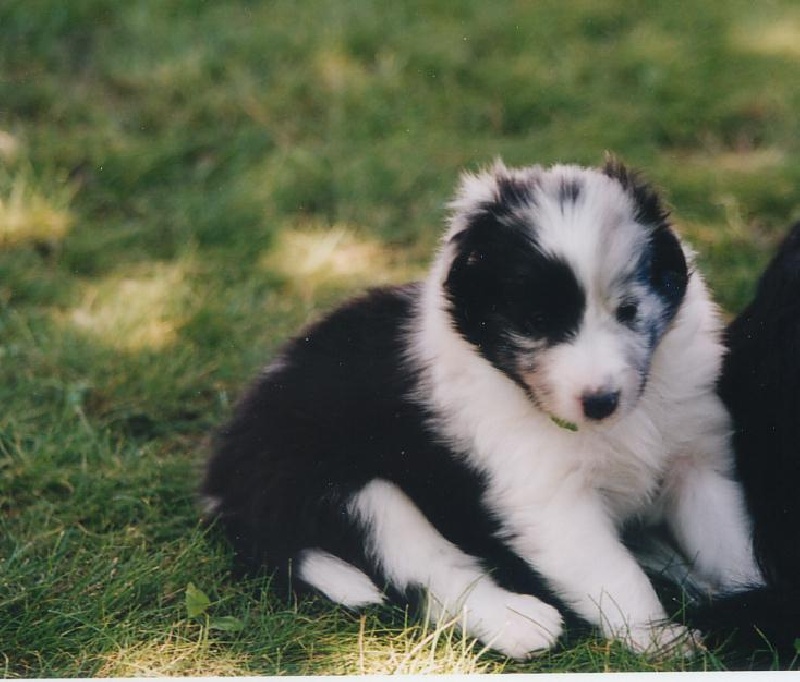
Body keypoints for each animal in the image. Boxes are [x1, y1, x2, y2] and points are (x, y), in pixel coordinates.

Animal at [202, 158, 763, 659]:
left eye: (628, 310)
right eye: (536, 321)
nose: (601, 402)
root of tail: (224, 487)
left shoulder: (699, 461)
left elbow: (731, 543)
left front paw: (751, 598)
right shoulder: (549, 499)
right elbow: (613, 572)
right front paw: (660, 639)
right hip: (351, 489)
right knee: (428, 574)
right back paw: (518, 622)